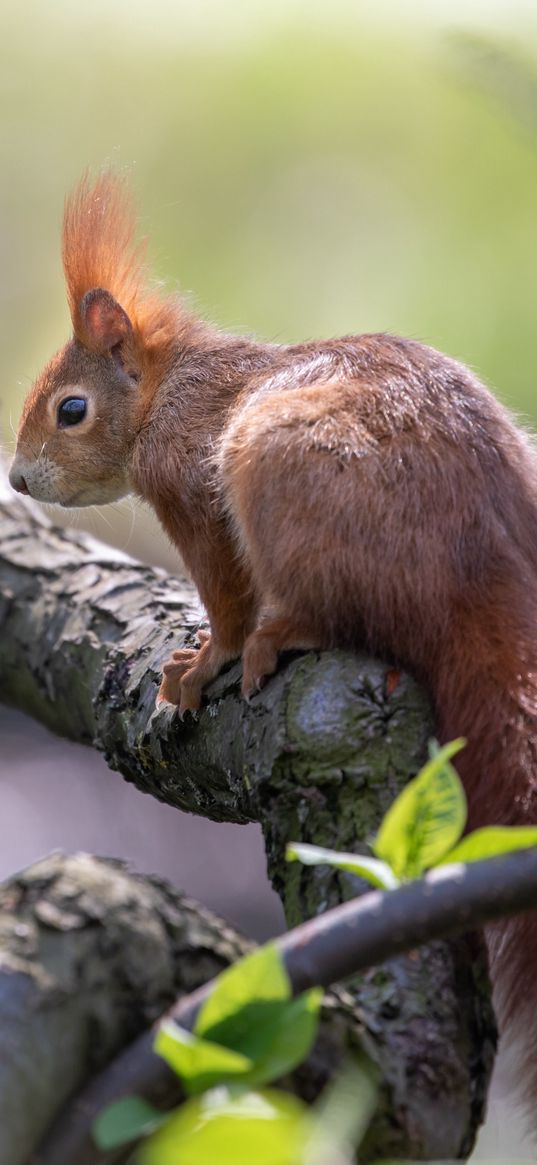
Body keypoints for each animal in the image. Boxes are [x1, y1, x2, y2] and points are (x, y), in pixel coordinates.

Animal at [9, 174, 537, 1118]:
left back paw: (275, 639)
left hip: (277, 466)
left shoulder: (191, 484)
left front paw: (203, 661)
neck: (171, 385)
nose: (17, 478)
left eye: (71, 409)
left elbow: (224, 590)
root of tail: (481, 570)